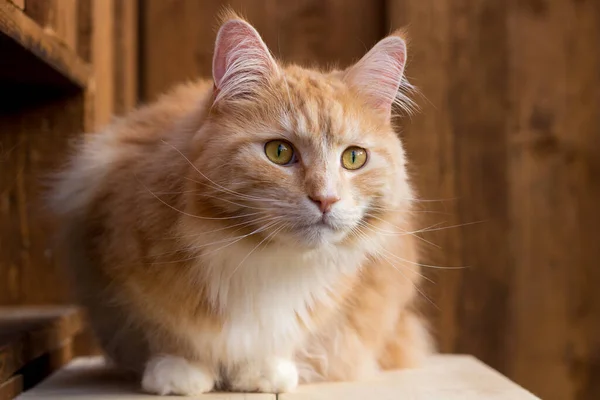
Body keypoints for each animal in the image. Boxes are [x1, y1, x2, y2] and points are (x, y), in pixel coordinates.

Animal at [50, 10, 432, 396]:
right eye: (279, 152)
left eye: (354, 158)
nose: (326, 198)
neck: (262, 257)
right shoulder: (118, 266)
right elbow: (166, 331)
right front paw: (179, 371)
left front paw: (263, 370)